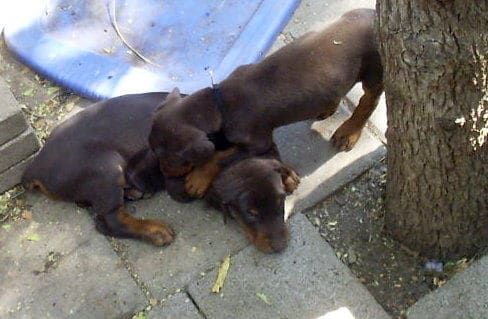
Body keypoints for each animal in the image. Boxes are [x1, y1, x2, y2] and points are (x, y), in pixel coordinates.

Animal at [151, 8, 384, 196]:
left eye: (170, 159)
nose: (163, 172)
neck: (219, 102)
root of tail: (373, 14)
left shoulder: (257, 141)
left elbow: (219, 156)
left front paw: (198, 178)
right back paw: (327, 107)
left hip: (375, 69)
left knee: (369, 101)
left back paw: (349, 131)